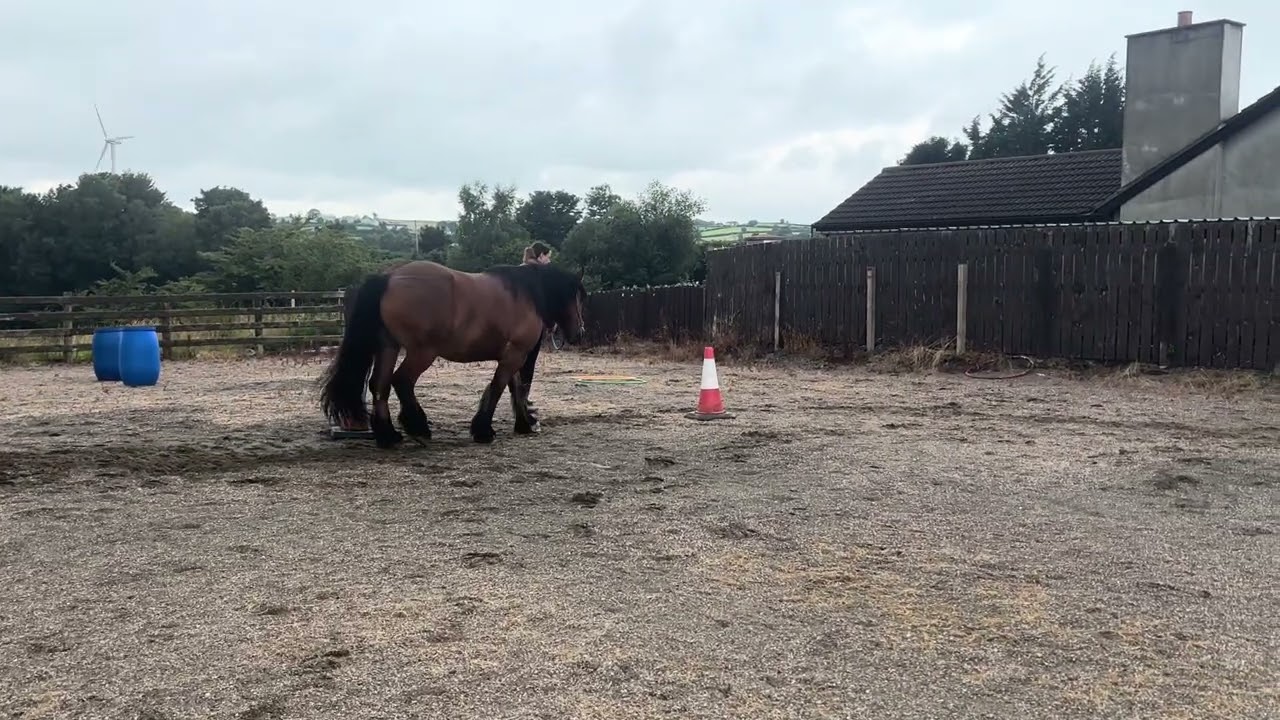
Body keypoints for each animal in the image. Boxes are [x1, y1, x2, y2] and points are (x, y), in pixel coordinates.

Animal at [318, 260, 587, 449]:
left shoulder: (512, 355)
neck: (525, 295)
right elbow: (498, 388)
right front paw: (483, 430)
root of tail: (389, 277)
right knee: (401, 381)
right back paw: (418, 427)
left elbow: (515, 389)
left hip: (389, 347)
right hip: (422, 353)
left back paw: (388, 435)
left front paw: (524, 424)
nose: (580, 332)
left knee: (379, 386)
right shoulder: (515, 355)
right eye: (575, 296)